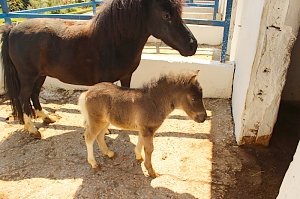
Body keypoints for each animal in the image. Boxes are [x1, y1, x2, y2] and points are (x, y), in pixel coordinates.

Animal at [1, 0, 198, 138]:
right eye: (166, 15)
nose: (192, 45)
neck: (113, 41)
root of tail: (12, 29)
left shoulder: (126, 76)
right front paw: (107, 129)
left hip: (40, 74)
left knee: (34, 95)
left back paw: (47, 118)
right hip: (27, 76)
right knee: (24, 97)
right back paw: (33, 130)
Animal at [77, 71, 206, 177]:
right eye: (193, 98)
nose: (204, 117)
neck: (155, 102)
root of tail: (87, 92)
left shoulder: (143, 128)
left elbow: (140, 142)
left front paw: (138, 156)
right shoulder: (148, 129)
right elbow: (149, 149)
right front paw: (151, 172)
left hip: (105, 122)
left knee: (99, 136)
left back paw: (109, 153)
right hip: (96, 121)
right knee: (89, 137)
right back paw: (94, 163)